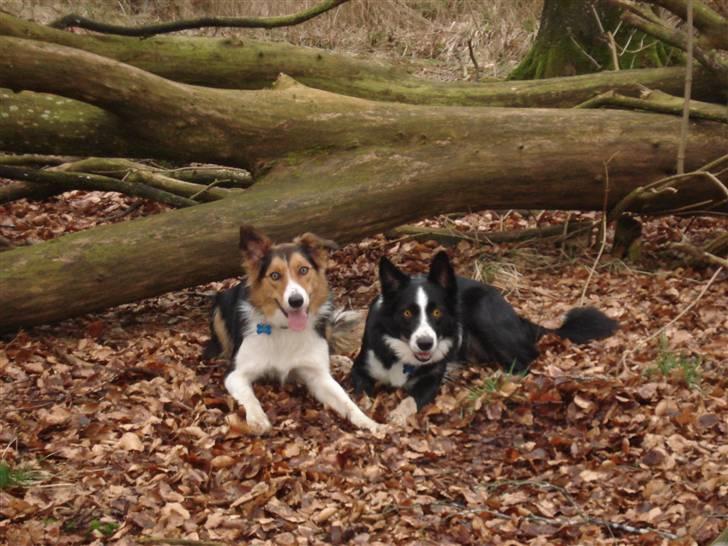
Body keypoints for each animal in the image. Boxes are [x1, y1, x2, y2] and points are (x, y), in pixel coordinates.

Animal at [202, 225, 378, 434]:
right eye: (275, 275)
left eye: (303, 270)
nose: (296, 301)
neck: (286, 329)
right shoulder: (235, 374)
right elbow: (249, 397)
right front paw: (257, 419)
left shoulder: (319, 377)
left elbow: (346, 400)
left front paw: (369, 422)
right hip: (220, 306)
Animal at [350, 251, 616, 408]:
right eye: (407, 313)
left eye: (437, 313)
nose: (426, 344)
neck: (401, 355)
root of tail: (517, 315)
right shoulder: (360, 369)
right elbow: (361, 391)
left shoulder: (431, 379)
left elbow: (413, 401)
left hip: (483, 312)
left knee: (527, 359)